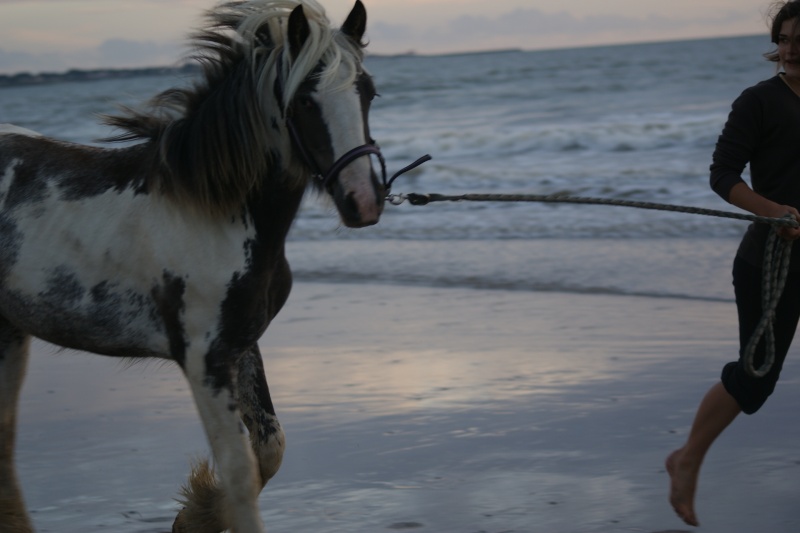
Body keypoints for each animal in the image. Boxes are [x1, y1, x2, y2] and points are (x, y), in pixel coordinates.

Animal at [0, 1, 400, 532]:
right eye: (304, 101)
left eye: (368, 91)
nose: (364, 201)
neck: (209, 209)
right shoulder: (202, 360)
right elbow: (240, 471)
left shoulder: (240, 345)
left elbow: (269, 449)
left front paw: (197, 515)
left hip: (10, 333)